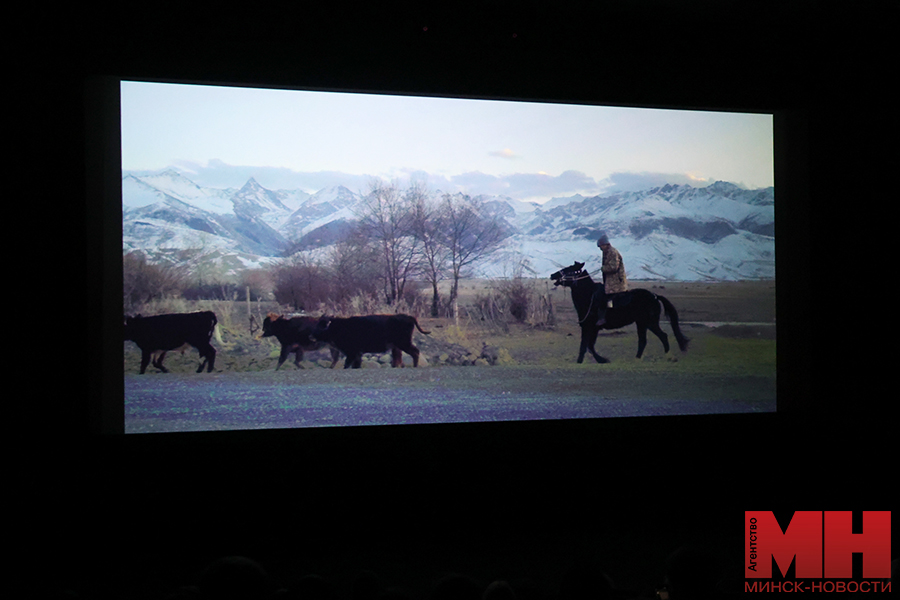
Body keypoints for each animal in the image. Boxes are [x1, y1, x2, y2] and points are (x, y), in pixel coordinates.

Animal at [548, 262, 688, 364]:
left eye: (569, 269)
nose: (552, 275)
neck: (589, 296)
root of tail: (654, 296)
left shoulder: (590, 326)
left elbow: (587, 345)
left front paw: (593, 360)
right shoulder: (591, 328)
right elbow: (588, 345)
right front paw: (595, 360)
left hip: (650, 323)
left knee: (662, 336)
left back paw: (667, 356)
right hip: (641, 323)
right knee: (643, 340)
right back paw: (637, 359)